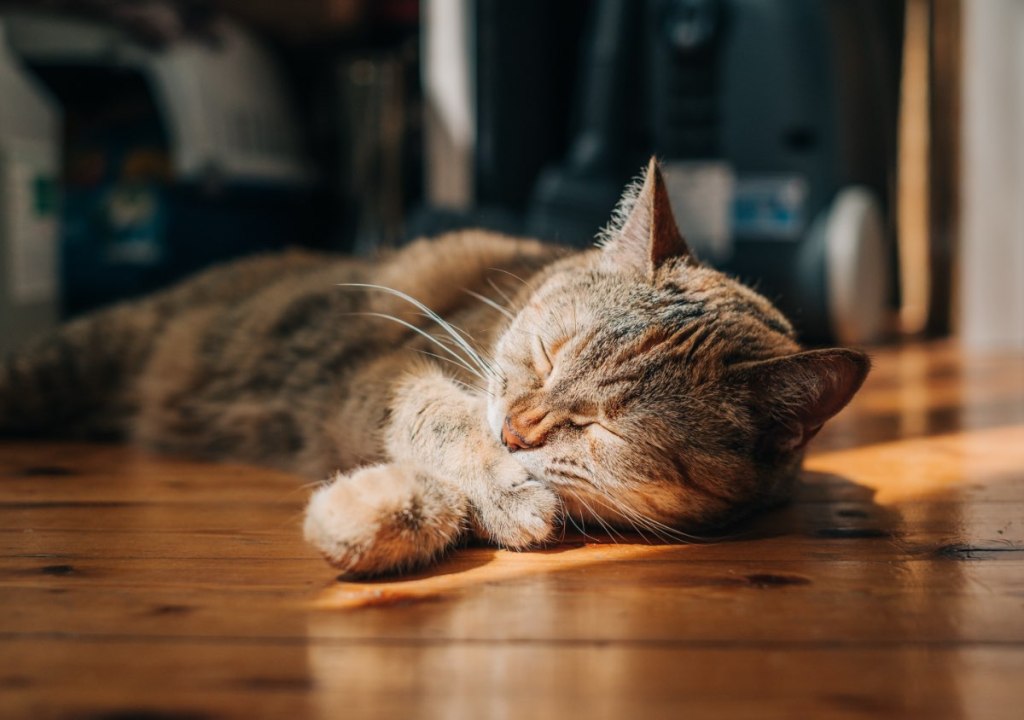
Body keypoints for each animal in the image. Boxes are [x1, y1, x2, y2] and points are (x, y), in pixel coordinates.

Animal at [0, 160, 872, 577]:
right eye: (548, 353)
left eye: (603, 427)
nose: (518, 430)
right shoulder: (389, 374)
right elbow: (439, 423)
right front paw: (489, 489)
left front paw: (382, 516)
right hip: (75, 357)